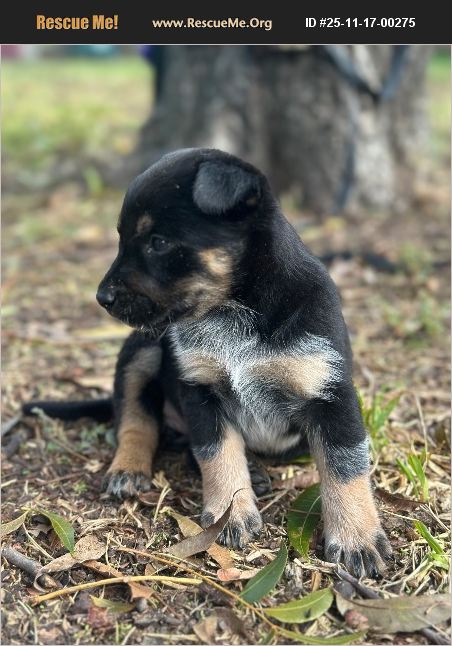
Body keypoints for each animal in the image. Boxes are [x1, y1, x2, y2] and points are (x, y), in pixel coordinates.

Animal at [26, 148, 392, 578]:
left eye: (159, 242)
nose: (102, 298)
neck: (235, 311)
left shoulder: (330, 392)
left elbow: (345, 466)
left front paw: (356, 538)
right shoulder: (200, 391)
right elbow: (216, 452)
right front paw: (230, 511)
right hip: (142, 349)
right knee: (135, 419)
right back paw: (129, 468)